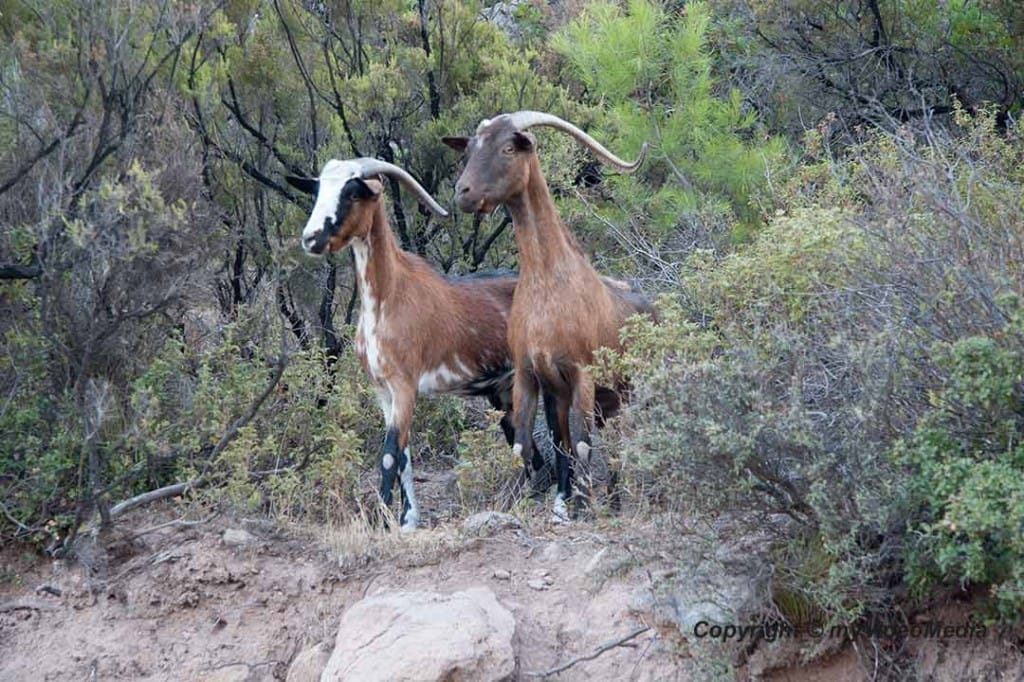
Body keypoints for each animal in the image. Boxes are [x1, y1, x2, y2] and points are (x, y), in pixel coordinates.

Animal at [287, 158, 524, 530]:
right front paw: (407, 519)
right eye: (317, 189)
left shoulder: (405, 385)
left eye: (352, 192)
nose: (311, 238)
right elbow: (403, 456)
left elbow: (387, 456)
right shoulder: (383, 391)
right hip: (502, 388)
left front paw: (382, 520)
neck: (390, 295)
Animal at [443, 112, 651, 519]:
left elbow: (582, 442)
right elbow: (535, 443)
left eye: (508, 148)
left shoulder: (581, 374)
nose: (464, 192)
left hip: (631, 388)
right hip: (603, 400)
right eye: (471, 148)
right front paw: (555, 502)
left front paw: (585, 504)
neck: (548, 284)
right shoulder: (532, 376)